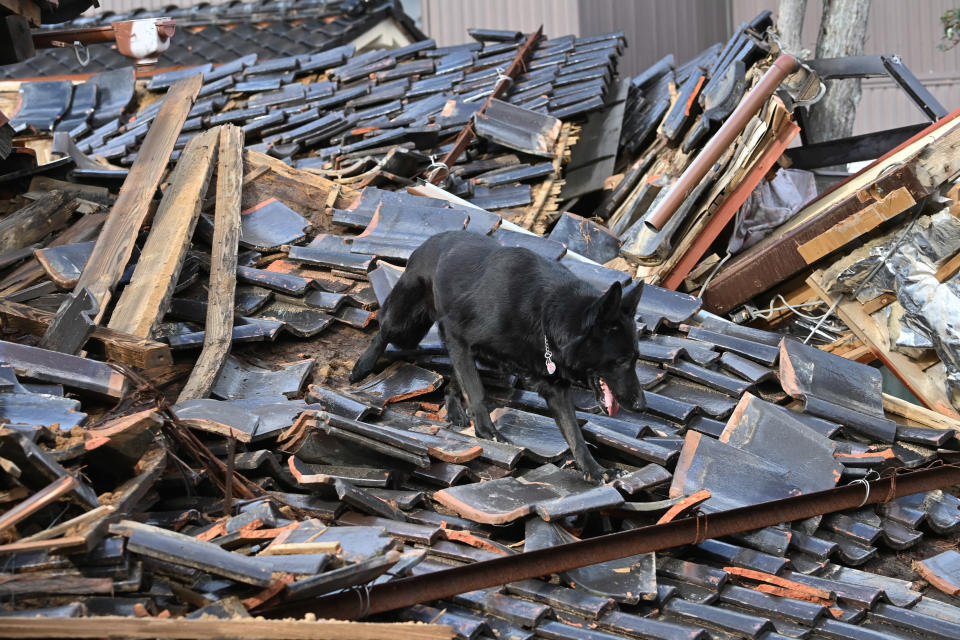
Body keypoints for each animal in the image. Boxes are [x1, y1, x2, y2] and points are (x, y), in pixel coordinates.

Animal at [352, 230, 644, 480]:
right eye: (621, 360)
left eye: (635, 358)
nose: (641, 405)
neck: (546, 315)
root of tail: (431, 240)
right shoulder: (457, 334)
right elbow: (477, 391)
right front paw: (488, 432)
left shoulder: (554, 387)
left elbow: (575, 433)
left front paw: (595, 470)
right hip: (407, 327)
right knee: (383, 329)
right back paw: (362, 366)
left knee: (455, 375)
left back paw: (455, 409)